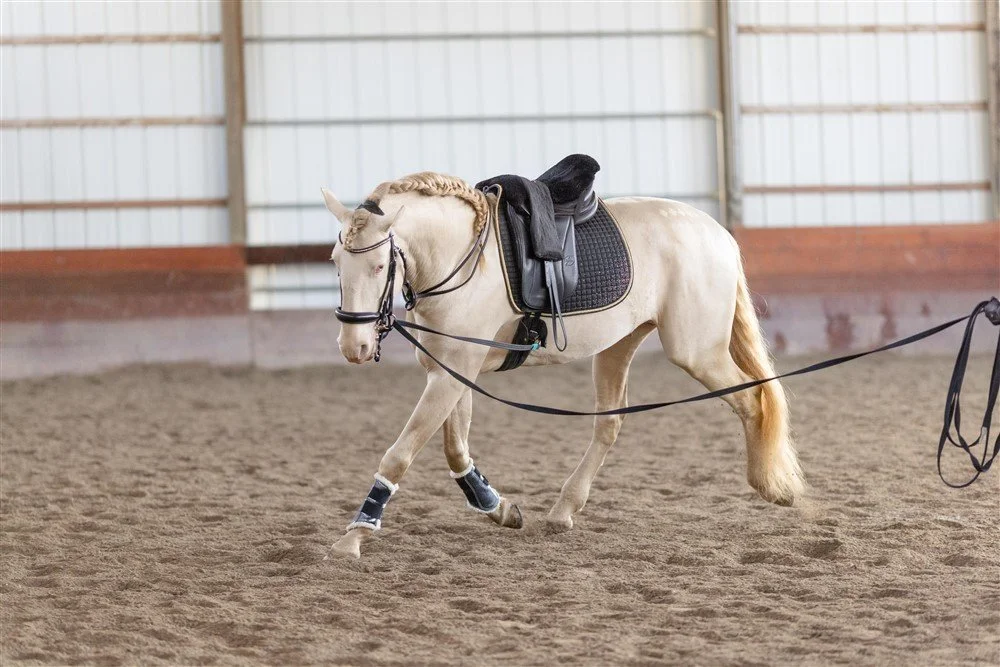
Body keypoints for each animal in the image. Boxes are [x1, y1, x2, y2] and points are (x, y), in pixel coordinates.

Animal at [322, 170, 804, 559]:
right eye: (336, 263)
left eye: (379, 265)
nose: (353, 346)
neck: (464, 257)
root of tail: (718, 233)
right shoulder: (450, 370)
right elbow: (455, 448)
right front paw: (498, 508)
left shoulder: (453, 371)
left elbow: (399, 455)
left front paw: (354, 536)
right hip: (620, 346)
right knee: (610, 424)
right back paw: (563, 510)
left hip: (697, 351)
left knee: (753, 399)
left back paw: (770, 487)